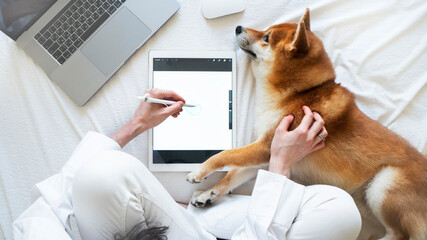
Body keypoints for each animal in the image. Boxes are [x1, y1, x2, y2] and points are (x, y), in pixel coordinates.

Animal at [187, 8, 427, 239]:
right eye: (266, 31)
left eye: (266, 37)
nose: (238, 27)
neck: (298, 93)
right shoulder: (269, 156)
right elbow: (232, 176)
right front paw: (209, 194)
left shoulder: (266, 146)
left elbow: (224, 155)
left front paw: (199, 172)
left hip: (383, 186)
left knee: (399, 233)